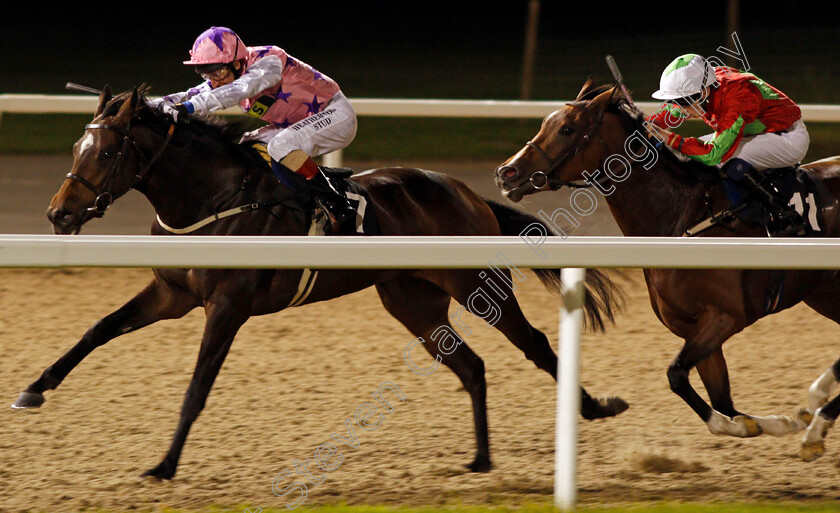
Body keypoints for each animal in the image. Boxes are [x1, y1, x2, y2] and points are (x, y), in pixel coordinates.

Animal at [9, 85, 628, 480]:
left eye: (107, 150)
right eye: (76, 147)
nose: (59, 214)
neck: (213, 197)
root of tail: (469, 192)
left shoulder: (227, 305)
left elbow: (196, 387)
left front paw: (164, 464)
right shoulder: (174, 293)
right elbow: (98, 329)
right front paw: (34, 388)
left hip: (474, 283)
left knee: (537, 346)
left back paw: (594, 409)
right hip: (412, 300)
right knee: (470, 365)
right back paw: (479, 460)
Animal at [496, 78, 840, 462]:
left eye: (567, 128)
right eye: (545, 123)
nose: (506, 173)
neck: (682, 218)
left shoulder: (725, 317)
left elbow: (677, 376)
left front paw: (776, 423)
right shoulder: (694, 327)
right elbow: (723, 401)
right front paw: (782, 421)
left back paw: (817, 426)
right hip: (825, 293)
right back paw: (815, 407)